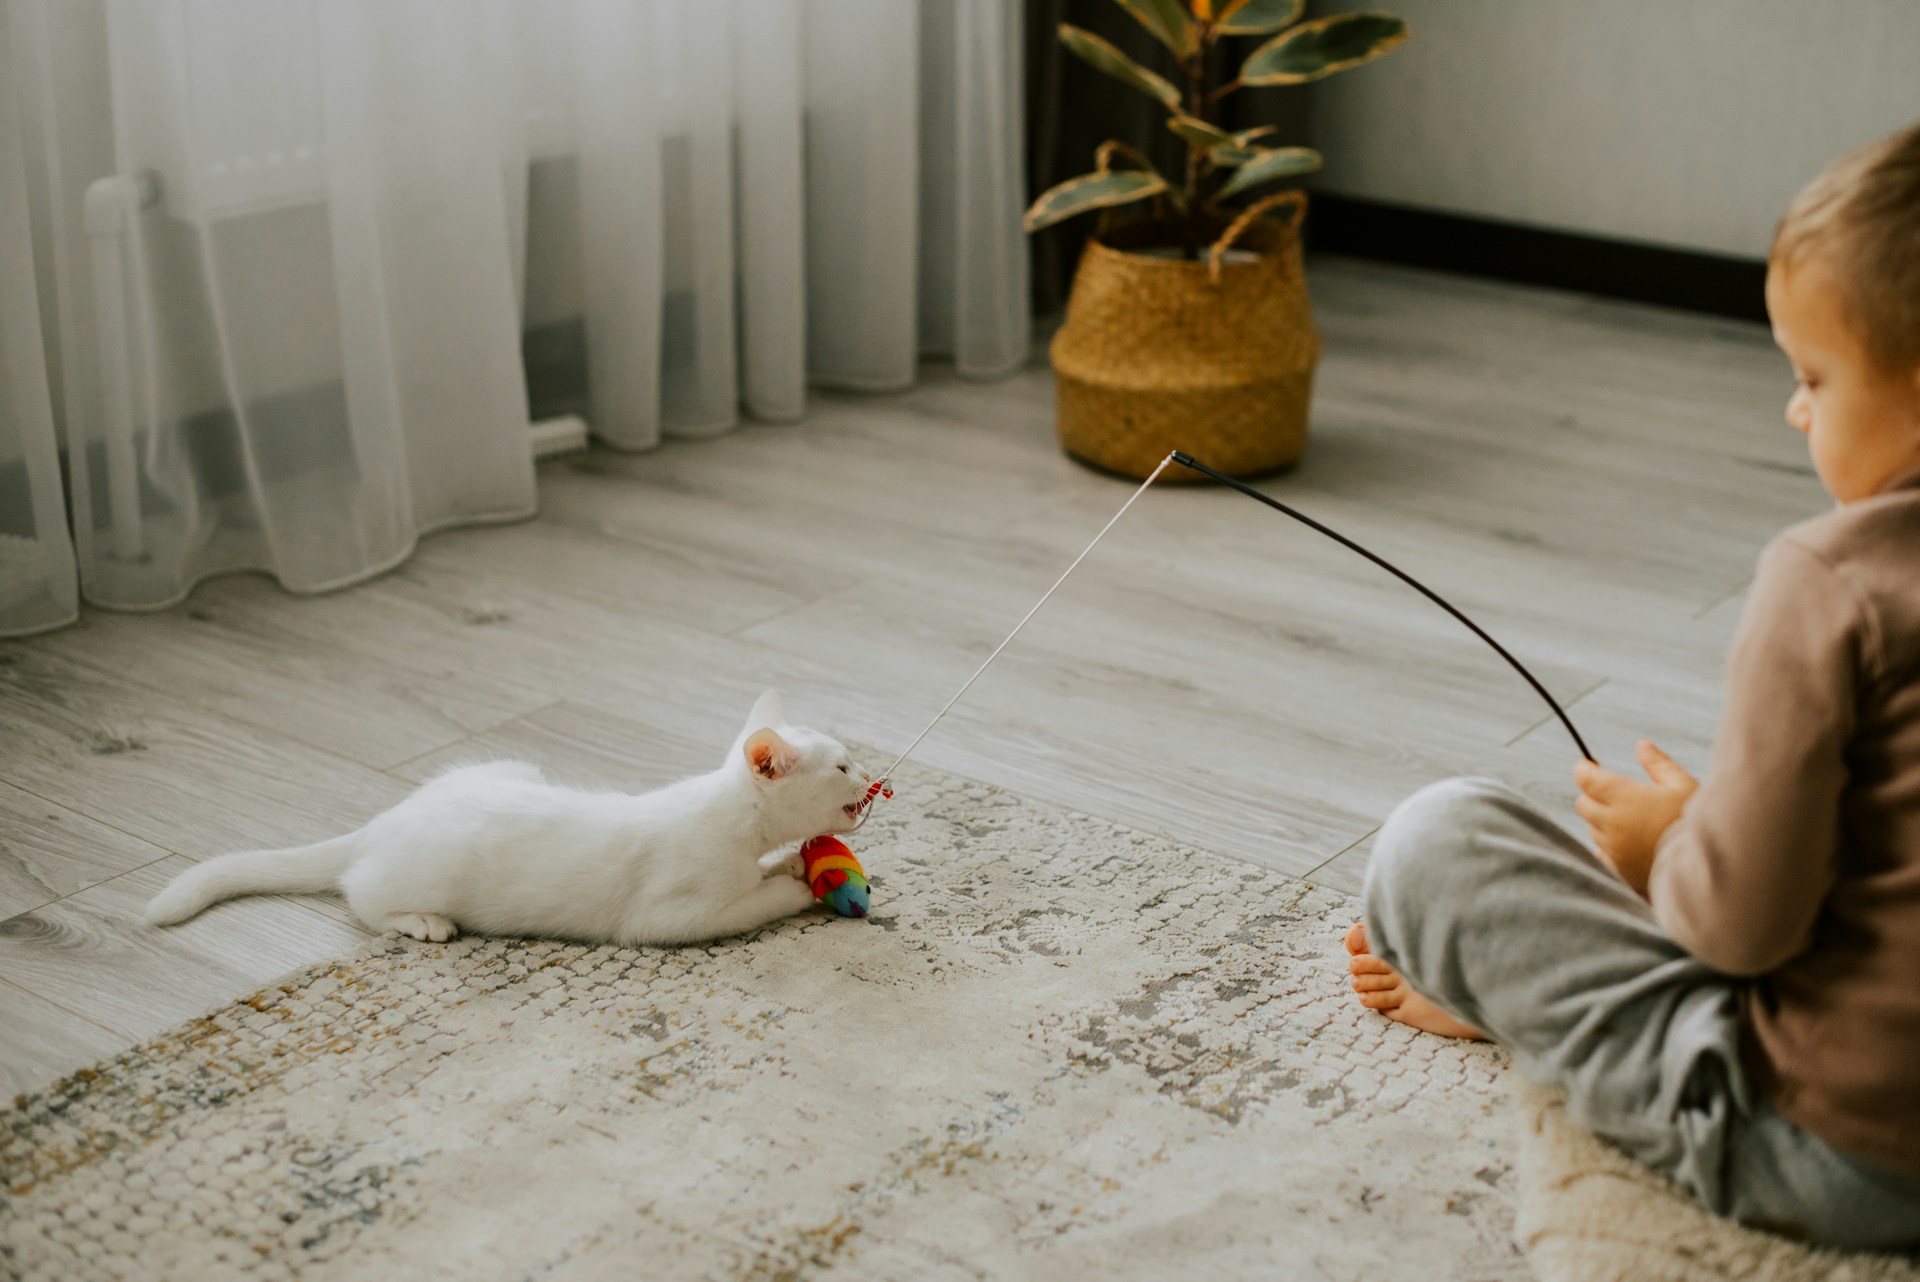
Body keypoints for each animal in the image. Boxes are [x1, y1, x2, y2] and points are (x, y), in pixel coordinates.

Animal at [145, 690, 875, 951]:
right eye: (841, 766)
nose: (868, 776)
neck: (732, 821)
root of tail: (387, 817)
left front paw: (791, 861)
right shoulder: (665, 917)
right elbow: (748, 904)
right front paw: (795, 886)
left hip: (513, 766)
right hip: (421, 874)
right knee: (359, 896)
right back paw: (421, 922)